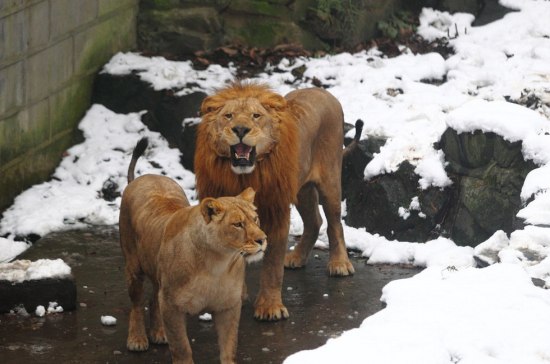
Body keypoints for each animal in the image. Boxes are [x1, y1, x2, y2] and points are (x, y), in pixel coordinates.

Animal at [119, 138, 268, 362]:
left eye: (255, 219)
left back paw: (159, 333)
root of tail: (143, 177)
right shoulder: (171, 305)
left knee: (153, 298)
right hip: (133, 267)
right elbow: (181, 348)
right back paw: (137, 339)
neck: (217, 263)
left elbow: (229, 347)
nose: (262, 239)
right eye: (238, 224)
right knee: (137, 303)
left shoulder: (229, 306)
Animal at [196, 82, 356, 322]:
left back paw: (339, 264)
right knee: (314, 221)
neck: (244, 176)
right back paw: (296, 258)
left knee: (335, 222)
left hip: (330, 181)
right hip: (302, 189)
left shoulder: (277, 210)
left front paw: (270, 308)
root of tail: (321, 90)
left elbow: (272, 265)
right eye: (228, 116)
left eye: (256, 116)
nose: (240, 130)